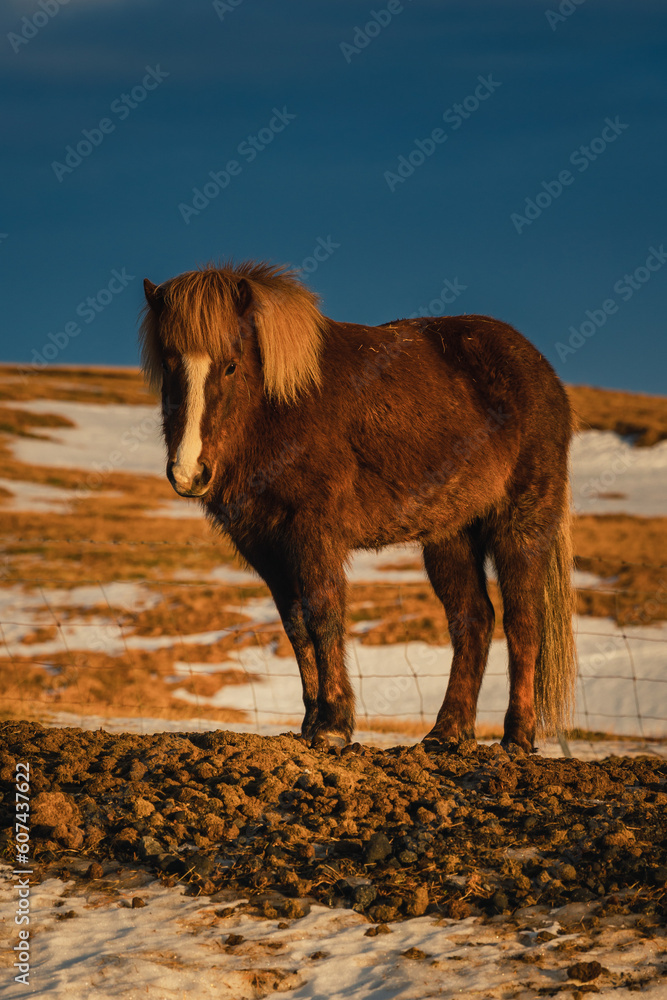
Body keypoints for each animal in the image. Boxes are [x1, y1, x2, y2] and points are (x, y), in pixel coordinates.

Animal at [140, 260, 577, 752]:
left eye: (231, 365)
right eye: (169, 364)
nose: (189, 473)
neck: (283, 406)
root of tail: (542, 372)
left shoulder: (313, 533)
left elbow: (323, 616)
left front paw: (333, 725)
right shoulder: (265, 545)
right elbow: (295, 626)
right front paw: (311, 723)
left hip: (521, 525)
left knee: (524, 622)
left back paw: (517, 737)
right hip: (451, 536)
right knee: (473, 620)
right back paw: (446, 732)